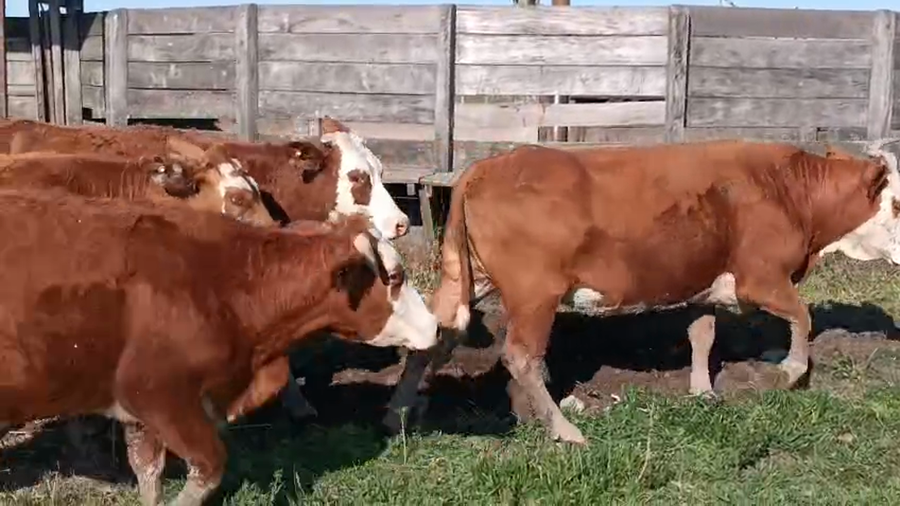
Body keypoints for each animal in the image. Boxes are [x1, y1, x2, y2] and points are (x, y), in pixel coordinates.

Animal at [0, 188, 438, 506]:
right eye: (394, 277)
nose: (434, 326)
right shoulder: (159, 397)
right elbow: (209, 468)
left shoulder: (140, 417)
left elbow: (149, 475)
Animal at [388, 139, 900, 445]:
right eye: (897, 203)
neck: (789, 190)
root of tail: (486, 167)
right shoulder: (763, 278)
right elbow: (803, 315)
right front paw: (793, 370)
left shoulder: (703, 283)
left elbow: (702, 335)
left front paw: (702, 390)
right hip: (536, 294)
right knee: (521, 357)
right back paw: (564, 429)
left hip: (465, 279)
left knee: (431, 339)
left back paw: (399, 412)